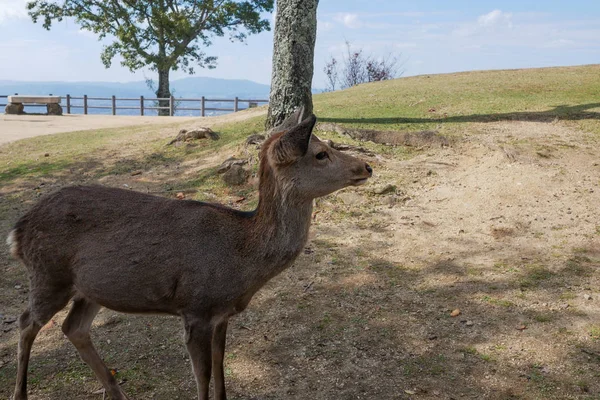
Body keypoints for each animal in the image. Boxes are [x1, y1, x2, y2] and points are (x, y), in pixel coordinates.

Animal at [7, 109, 372, 400]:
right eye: (321, 153)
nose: (367, 167)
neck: (242, 259)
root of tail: (18, 231)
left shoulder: (222, 313)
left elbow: (221, 371)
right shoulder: (197, 307)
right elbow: (204, 376)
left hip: (90, 289)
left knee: (73, 327)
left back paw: (117, 394)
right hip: (48, 274)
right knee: (26, 323)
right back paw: (20, 393)